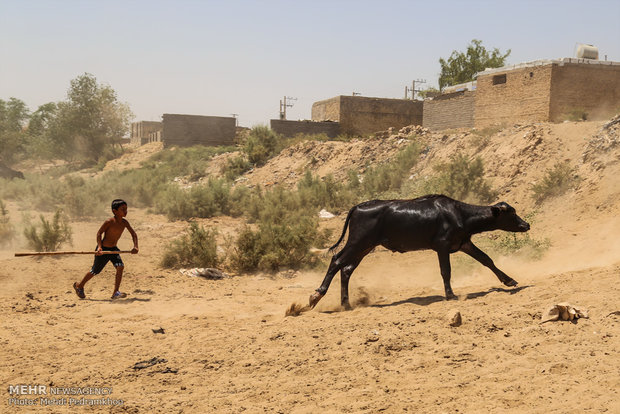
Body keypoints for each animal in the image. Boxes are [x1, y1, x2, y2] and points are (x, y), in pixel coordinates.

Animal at [308, 196, 532, 308]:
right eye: (510, 213)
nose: (526, 224)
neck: (459, 213)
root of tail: (357, 207)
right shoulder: (442, 246)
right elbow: (446, 271)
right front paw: (450, 294)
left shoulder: (463, 243)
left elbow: (487, 259)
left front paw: (509, 280)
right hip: (358, 242)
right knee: (337, 261)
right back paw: (316, 295)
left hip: (365, 247)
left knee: (346, 269)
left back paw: (346, 303)